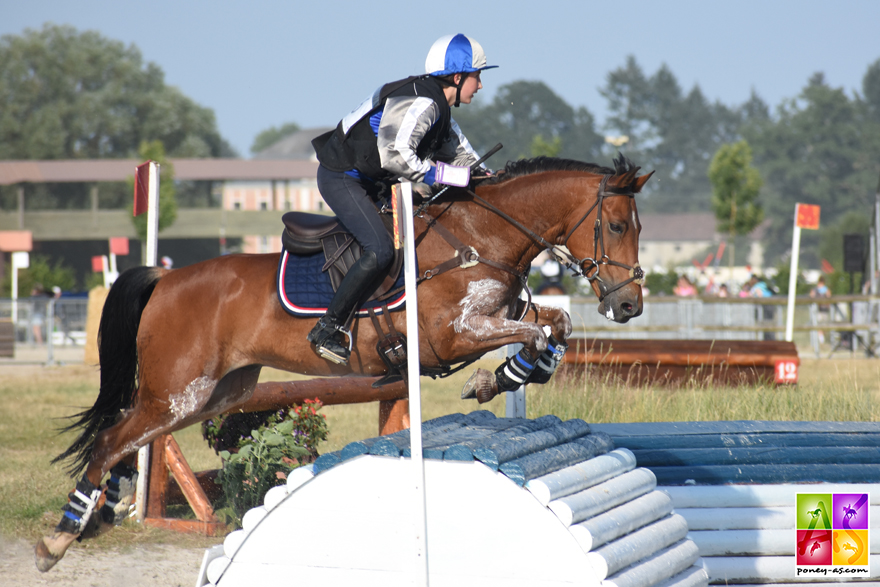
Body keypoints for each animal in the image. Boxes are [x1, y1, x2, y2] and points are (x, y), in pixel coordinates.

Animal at [34, 154, 648, 572]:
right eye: (617, 226)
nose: (628, 306)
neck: (479, 238)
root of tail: (165, 278)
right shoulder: (450, 336)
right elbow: (537, 331)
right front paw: (489, 378)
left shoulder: (496, 317)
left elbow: (554, 326)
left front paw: (504, 378)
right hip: (179, 388)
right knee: (113, 436)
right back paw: (59, 539)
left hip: (214, 394)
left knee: (128, 432)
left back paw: (104, 506)